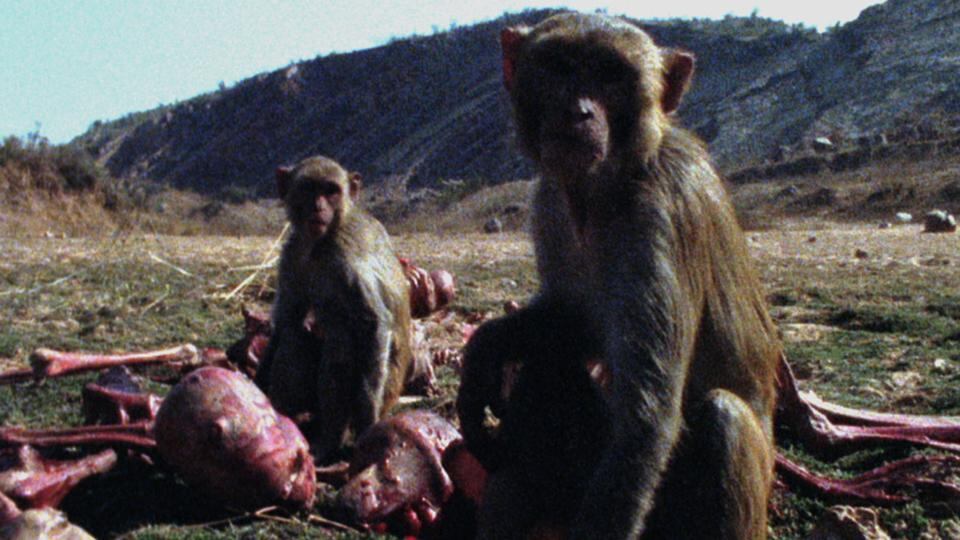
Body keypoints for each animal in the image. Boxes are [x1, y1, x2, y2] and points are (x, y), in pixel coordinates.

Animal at [255, 155, 413, 461]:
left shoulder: (346, 256)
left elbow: (374, 323)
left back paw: (331, 440)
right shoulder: (291, 255)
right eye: (308, 188)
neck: (319, 244)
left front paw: (368, 419)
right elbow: (286, 322)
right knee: (294, 337)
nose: (318, 207)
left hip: (389, 388)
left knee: (342, 343)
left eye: (330, 191)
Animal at [456, 13, 781, 539]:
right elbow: (573, 320)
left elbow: (644, 425)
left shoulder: (660, 217)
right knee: (548, 364)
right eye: (560, 65)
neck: (607, 184)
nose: (578, 112)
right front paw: (485, 349)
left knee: (724, 419)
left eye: (611, 75)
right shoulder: (549, 200)